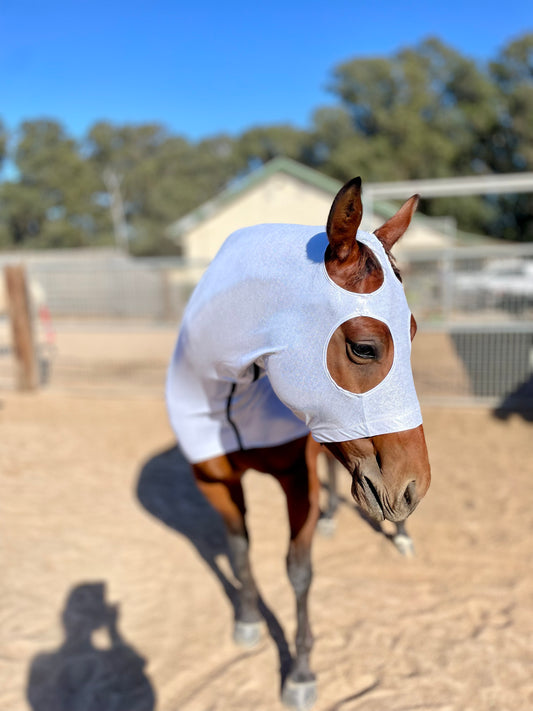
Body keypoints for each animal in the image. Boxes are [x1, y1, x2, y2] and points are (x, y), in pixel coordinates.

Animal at [164, 175, 430, 708]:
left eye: (412, 333)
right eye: (364, 347)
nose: (413, 486)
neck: (232, 384)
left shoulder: (295, 478)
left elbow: (298, 570)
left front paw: (301, 674)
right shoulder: (212, 478)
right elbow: (239, 550)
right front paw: (248, 622)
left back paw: (401, 536)